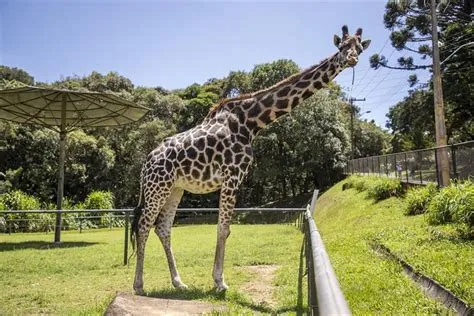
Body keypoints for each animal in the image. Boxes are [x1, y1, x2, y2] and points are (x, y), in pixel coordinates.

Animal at [131, 25, 372, 296]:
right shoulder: (232, 176)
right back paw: (139, 285)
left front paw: (216, 279)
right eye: (341, 46)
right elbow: (224, 228)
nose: (352, 59)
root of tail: (146, 163)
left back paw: (178, 282)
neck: (252, 122)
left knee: (163, 228)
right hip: (157, 187)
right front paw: (220, 281)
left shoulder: (230, 179)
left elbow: (223, 228)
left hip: (175, 188)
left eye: (359, 47)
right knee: (144, 225)